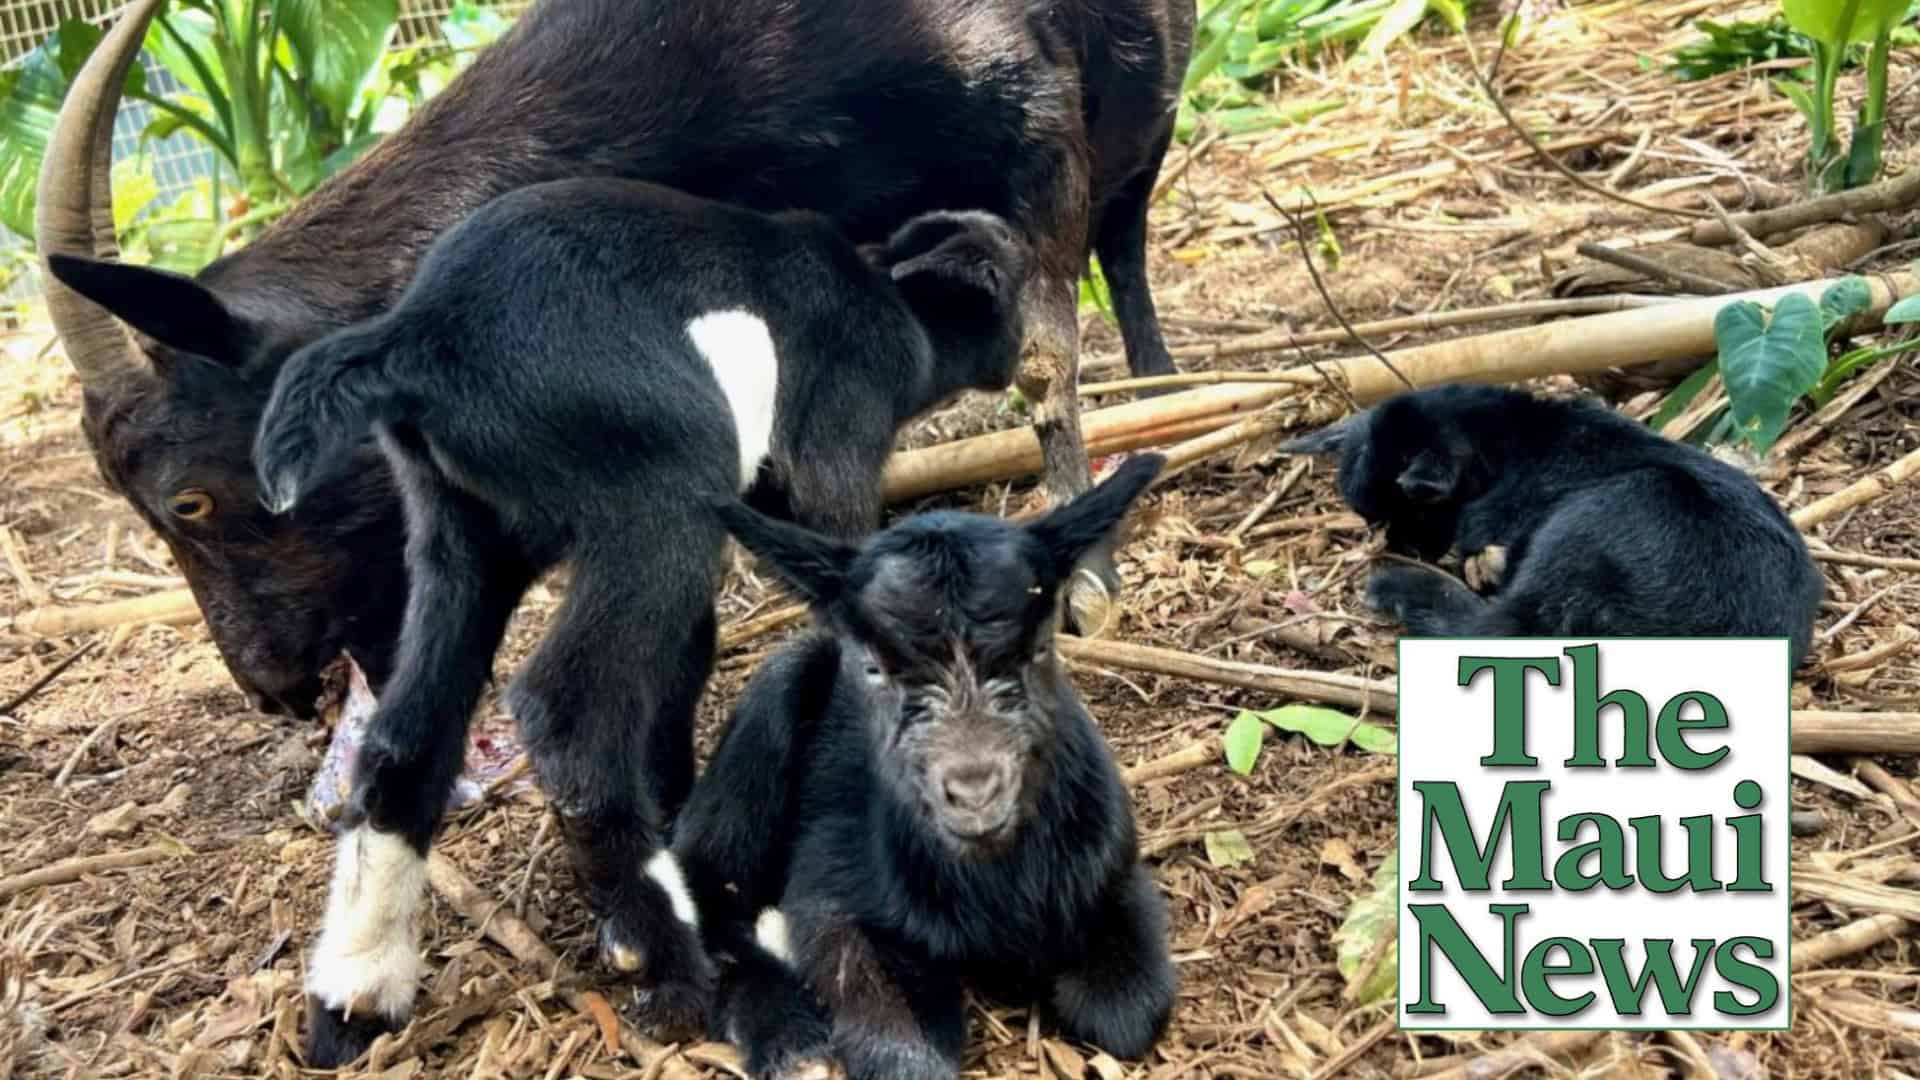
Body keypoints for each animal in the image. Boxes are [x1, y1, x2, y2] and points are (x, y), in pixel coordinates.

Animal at [36, 0, 1194, 717]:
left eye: (189, 500)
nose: (275, 690)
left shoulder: (1036, 121)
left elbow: (1043, 356)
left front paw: (1086, 576)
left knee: (1126, 238)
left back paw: (1164, 376)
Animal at [248, 177, 1035, 1067]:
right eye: (1009, 278)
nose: (1028, 354)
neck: (886, 296)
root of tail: (416, 336)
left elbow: (685, 662)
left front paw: (679, 803)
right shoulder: (835, 433)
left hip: (464, 536)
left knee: (408, 737)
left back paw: (354, 994)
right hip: (659, 483)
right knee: (566, 709)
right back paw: (661, 957)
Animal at [670, 454, 1178, 1080]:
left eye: (1038, 649)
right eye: (872, 668)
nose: (975, 791)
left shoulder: (1112, 872)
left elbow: (1127, 1011)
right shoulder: (831, 889)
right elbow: (905, 1052)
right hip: (768, 713)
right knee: (709, 888)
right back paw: (785, 1033)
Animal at [1279, 385, 1825, 667]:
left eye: (1413, 511)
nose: (1399, 545)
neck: (1516, 438)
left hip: (1614, 511)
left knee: (1500, 630)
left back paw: (1399, 588)